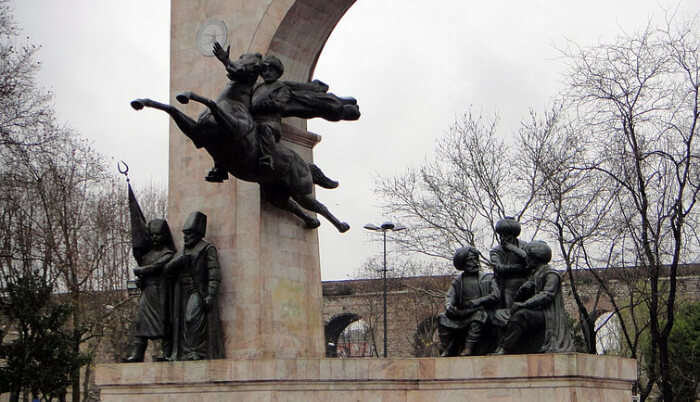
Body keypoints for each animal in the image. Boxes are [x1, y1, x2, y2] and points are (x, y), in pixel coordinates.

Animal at [131, 51, 350, 232]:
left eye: (255, 66)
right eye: (243, 57)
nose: (231, 68)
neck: (233, 103)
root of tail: (303, 162)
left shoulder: (233, 129)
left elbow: (209, 101)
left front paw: (186, 95)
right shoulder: (197, 134)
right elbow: (169, 108)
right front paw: (140, 102)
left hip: (301, 188)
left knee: (318, 206)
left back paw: (341, 225)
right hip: (276, 192)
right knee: (291, 205)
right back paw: (312, 222)